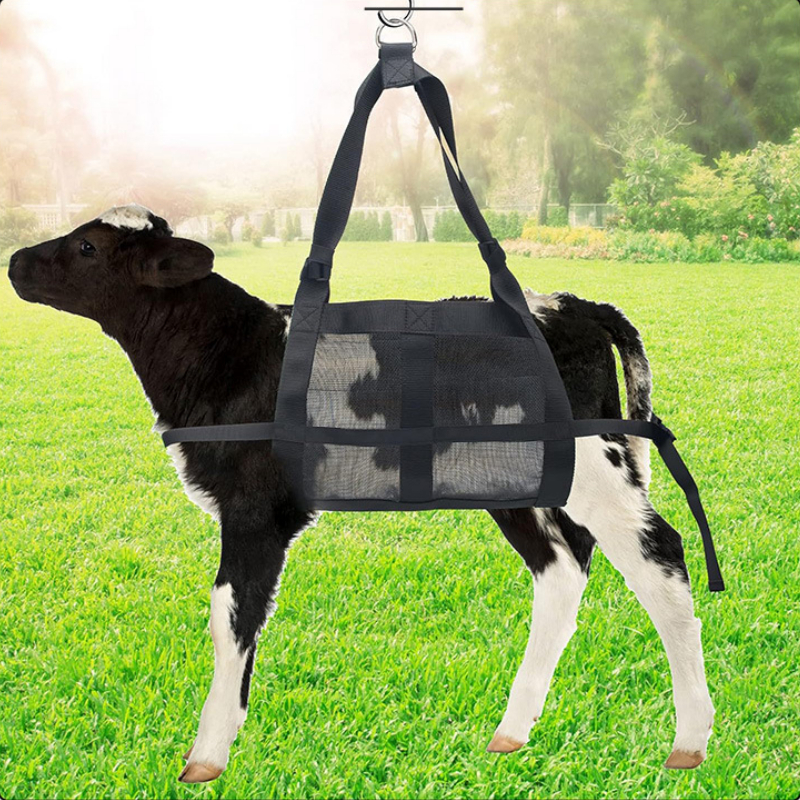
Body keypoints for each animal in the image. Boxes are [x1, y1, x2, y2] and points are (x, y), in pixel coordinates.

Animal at [7, 204, 715, 783]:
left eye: (88, 247)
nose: (13, 261)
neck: (226, 357)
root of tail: (574, 304)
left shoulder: (255, 509)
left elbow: (229, 613)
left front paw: (207, 755)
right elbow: (241, 618)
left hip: (597, 463)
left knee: (661, 555)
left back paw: (690, 739)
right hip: (515, 478)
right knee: (563, 567)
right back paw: (512, 732)